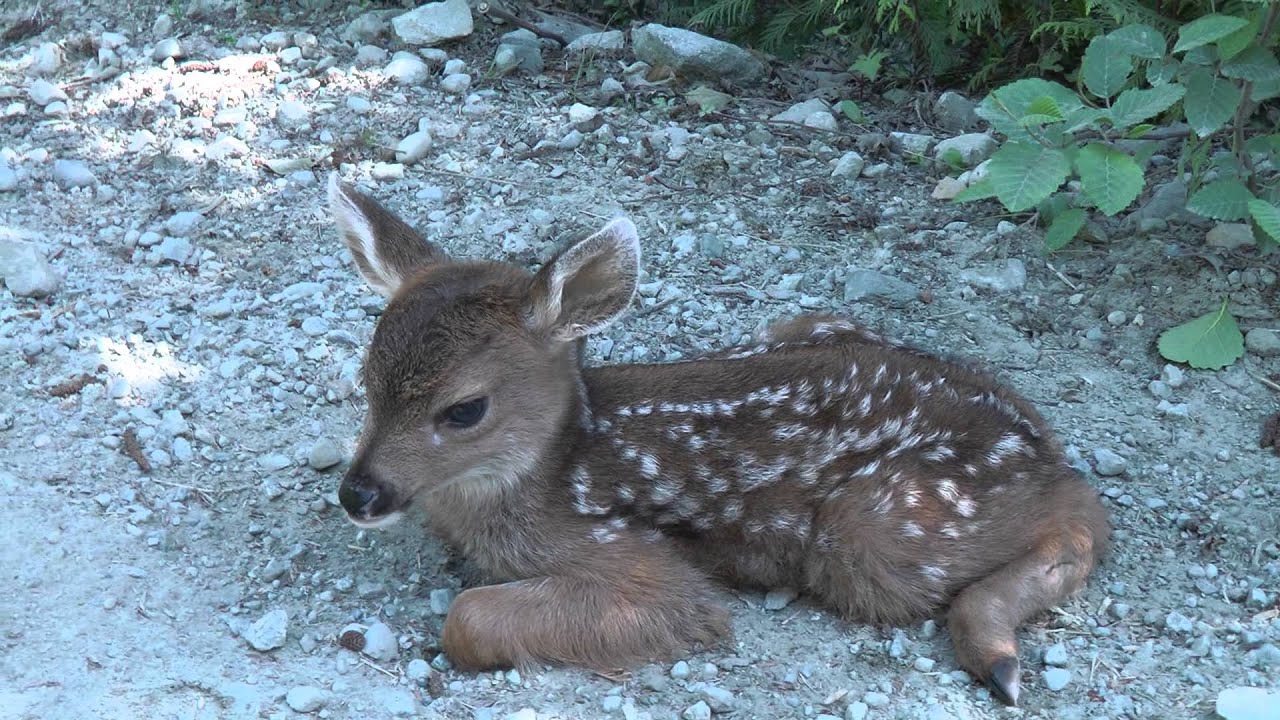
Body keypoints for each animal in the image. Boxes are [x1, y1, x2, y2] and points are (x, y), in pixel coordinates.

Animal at [325, 173, 1111, 707]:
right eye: (365, 378)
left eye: (465, 410)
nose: (358, 494)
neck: (546, 475)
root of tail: (1035, 438)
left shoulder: (636, 560)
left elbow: (466, 619)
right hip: (801, 327)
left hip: (882, 526)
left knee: (1082, 515)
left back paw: (998, 655)